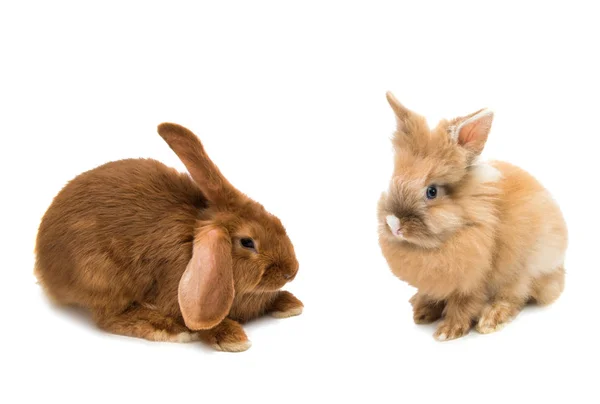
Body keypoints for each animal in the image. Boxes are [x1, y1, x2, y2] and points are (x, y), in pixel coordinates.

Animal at [35, 122, 302, 350]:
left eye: (275, 220)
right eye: (247, 242)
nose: (291, 272)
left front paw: (291, 304)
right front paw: (232, 337)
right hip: (102, 276)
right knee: (109, 318)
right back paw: (171, 329)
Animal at [380, 92, 568, 340]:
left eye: (432, 191)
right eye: (393, 180)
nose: (394, 224)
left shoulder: (473, 282)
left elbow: (464, 305)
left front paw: (448, 331)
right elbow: (432, 295)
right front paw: (422, 312)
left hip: (525, 272)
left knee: (514, 297)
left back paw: (490, 319)